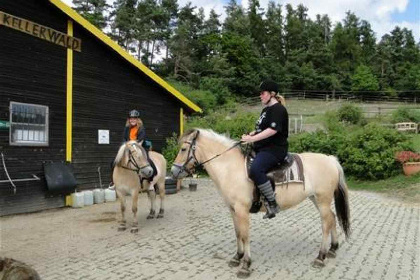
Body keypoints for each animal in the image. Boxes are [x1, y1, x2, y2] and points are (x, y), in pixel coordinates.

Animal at [171, 129, 352, 278]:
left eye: (183, 149)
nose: (173, 171)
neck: (231, 168)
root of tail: (330, 159)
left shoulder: (242, 210)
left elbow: (245, 235)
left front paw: (245, 265)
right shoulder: (233, 210)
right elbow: (238, 233)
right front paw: (237, 257)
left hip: (322, 200)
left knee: (326, 223)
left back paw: (320, 257)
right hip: (316, 199)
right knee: (332, 218)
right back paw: (332, 249)